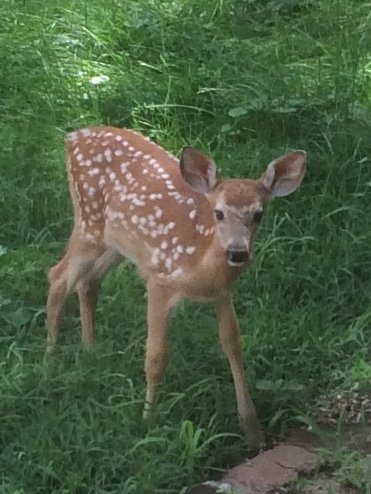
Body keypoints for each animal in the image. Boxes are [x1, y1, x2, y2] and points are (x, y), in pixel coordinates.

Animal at [46, 125, 306, 450]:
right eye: (219, 213)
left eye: (258, 214)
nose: (237, 252)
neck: (202, 263)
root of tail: (73, 136)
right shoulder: (159, 280)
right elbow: (156, 356)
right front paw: (147, 419)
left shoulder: (222, 294)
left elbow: (233, 346)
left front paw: (253, 431)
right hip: (88, 224)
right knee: (57, 276)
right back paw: (50, 360)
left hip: (116, 242)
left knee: (88, 281)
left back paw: (90, 350)